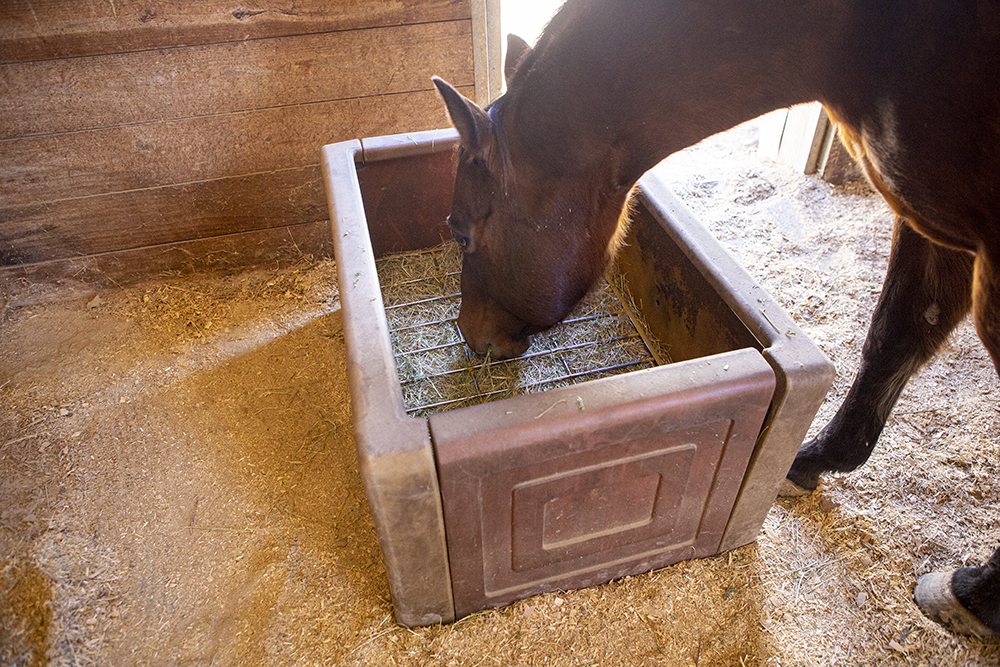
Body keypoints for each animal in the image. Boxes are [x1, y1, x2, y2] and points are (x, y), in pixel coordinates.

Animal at [432, 0, 1000, 639]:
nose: (469, 335)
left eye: (460, 231)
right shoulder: (933, 225)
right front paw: (818, 458)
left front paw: (974, 595)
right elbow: (896, 335)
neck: (852, 41)